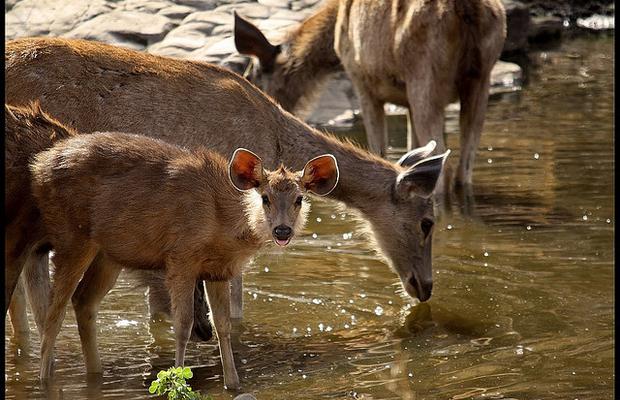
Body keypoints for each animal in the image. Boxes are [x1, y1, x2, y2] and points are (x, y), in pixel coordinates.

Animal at [29, 130, 340, 388]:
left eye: (299, 198)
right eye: (265, 197)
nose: (282, 230)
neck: (221, 222)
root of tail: (39, 165)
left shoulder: (219, 271)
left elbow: (223, 325)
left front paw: (233, 384)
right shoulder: (181, 258)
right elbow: (182, 325)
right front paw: (176, 380)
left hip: (109, 253)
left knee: (83, 301)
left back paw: (95, 373)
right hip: (72, 237)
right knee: (54, 312)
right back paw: (44, 381)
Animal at [235, 0, 506, 190]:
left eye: (252, 77)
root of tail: (468, 9)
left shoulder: (362, 82)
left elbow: (380, 152)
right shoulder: (406, 102)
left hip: (424, 76)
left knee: (445, 171)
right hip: (481, 78)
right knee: (464, 168)